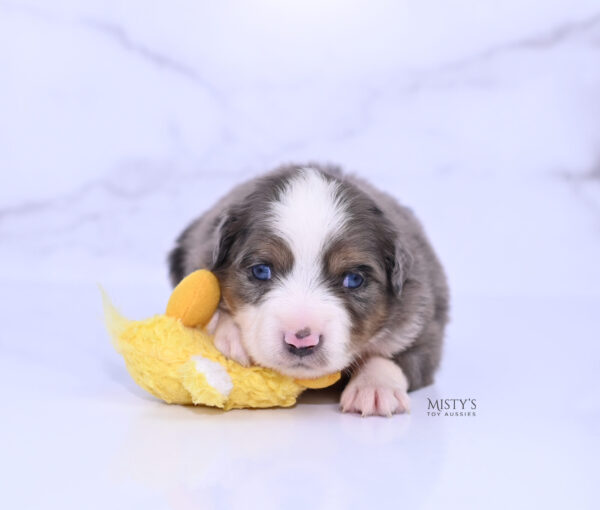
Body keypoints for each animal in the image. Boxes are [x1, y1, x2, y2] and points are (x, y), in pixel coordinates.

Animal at [166, 165, 448, 416]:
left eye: (354, 279)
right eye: (261, 271)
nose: (301, 340)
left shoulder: (421, 319)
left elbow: (394, 356)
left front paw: (375, 388)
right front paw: (232, 335)